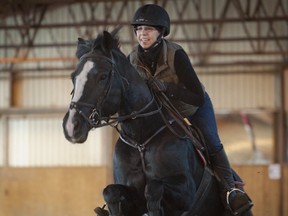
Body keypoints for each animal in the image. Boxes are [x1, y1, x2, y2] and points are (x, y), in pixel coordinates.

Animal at [62, 29, 252, 216]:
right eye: (73, 77)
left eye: (102, 77)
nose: (71, 126)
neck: (141, 140)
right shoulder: (130, 194)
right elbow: (110, 192)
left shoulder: (186, 193)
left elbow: (153, 189)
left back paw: (236, 197)